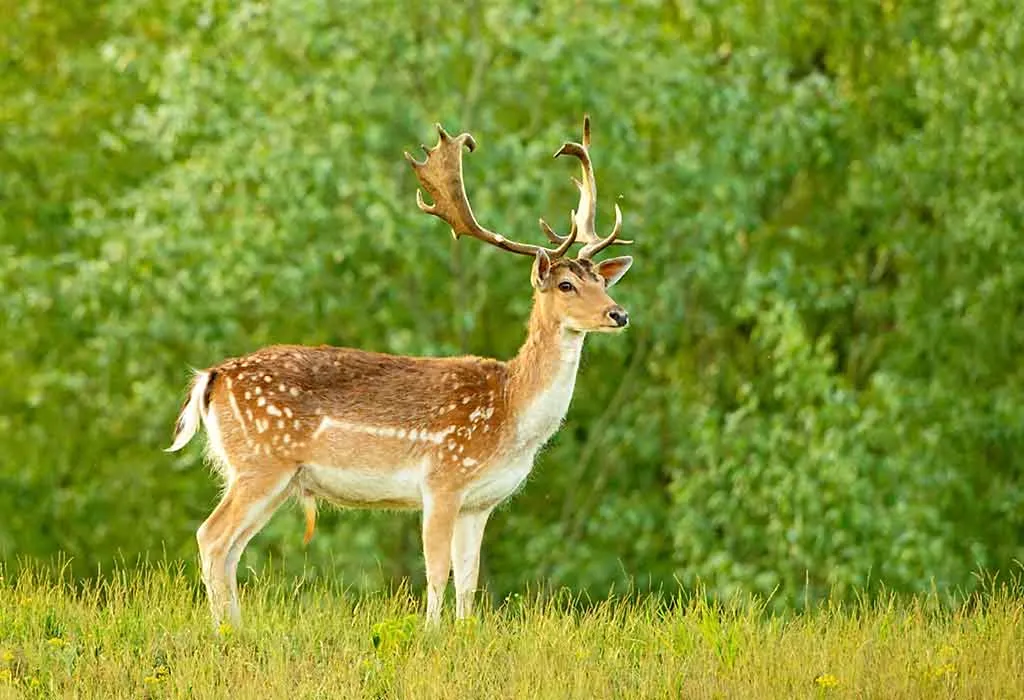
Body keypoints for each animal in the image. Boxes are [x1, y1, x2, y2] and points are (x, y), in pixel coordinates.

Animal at [165, 115, 634, 628]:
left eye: (600, 279)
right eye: (566, 284)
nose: (619, 314)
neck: (512, 416)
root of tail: (210, 378)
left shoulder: (481, 502)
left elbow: (468, 581)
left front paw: (465, 633)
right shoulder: (443, 477)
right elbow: (437, 571)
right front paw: (431, 634)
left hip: (272, 476)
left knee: (231, 548)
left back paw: (236, 628)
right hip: (261, 460)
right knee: (211, 536)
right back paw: (223, 632)